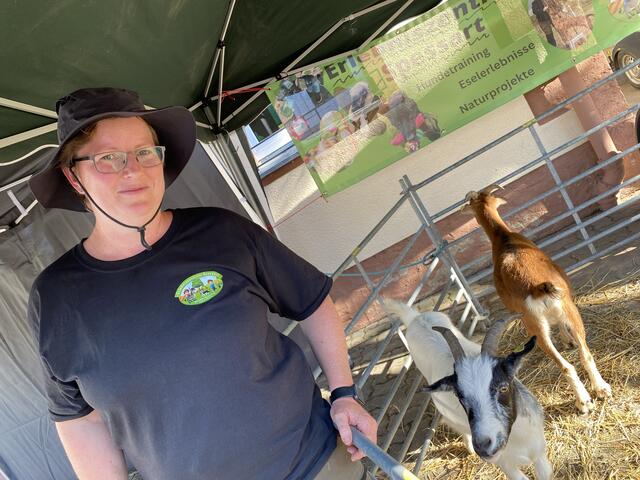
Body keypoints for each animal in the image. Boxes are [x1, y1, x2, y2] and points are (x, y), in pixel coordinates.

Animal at [384, 301, 552, 480]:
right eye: (460, 397)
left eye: (504, 387)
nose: (484, 447)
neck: (519, 440)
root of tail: (415, 318)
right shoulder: (506, 465)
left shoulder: (540, 453)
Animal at [463, 185, 611, 413]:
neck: (504, 238)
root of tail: (536, 287)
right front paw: (568, 341)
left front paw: (567, 341)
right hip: (559, 316)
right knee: (581, 357)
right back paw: (595, 393)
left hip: (539, 325)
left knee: (571, 362)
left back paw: (588, 399)